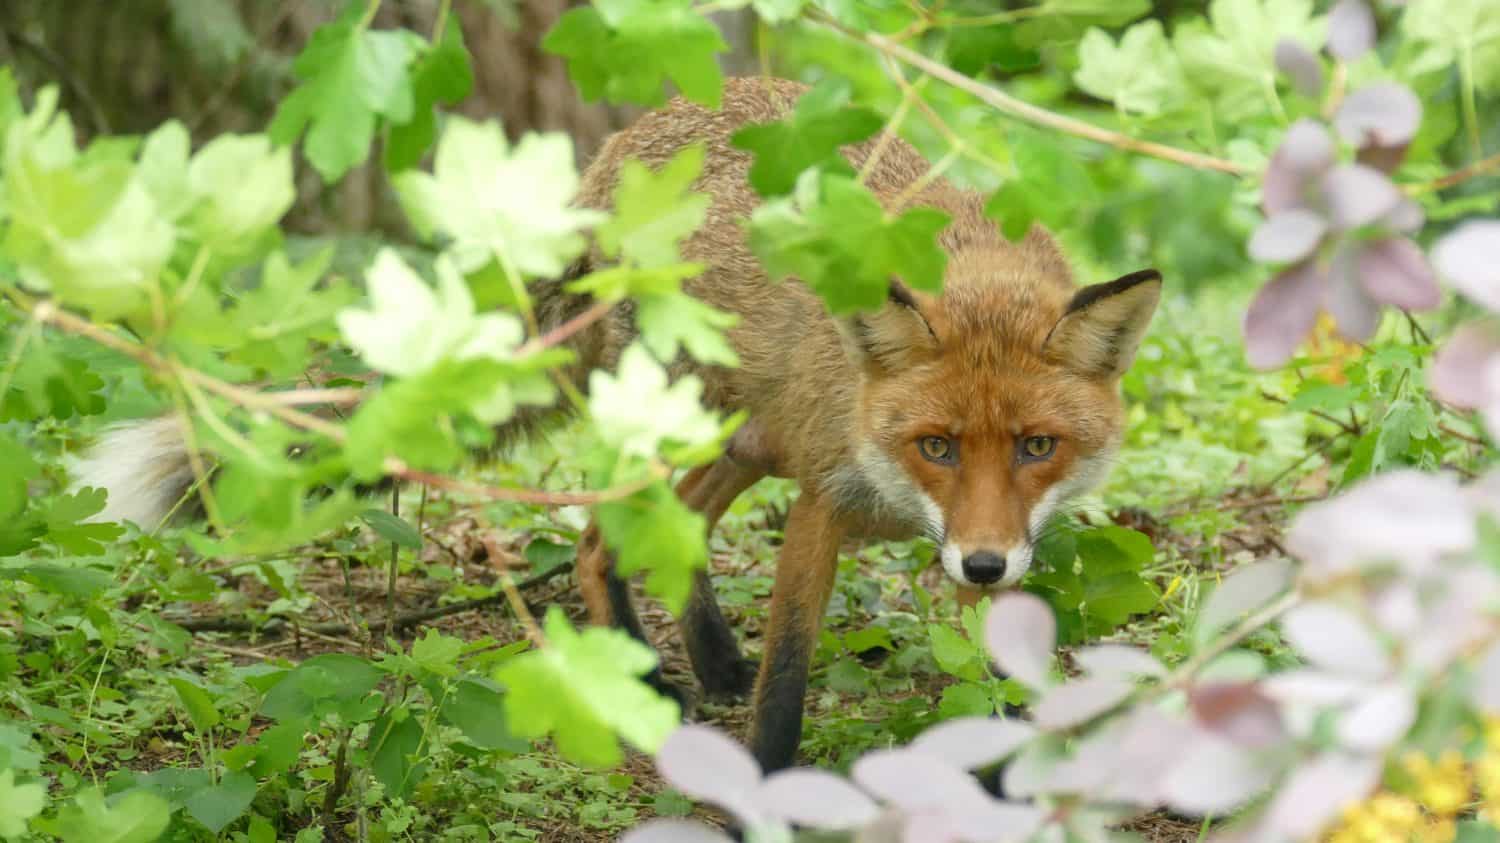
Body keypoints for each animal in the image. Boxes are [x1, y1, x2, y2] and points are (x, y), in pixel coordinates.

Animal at [73, 77, 1160, 775]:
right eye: (935, 445)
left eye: (1037, 447)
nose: (980, 563)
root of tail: (629, 145)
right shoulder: (824, 496)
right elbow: (787, 680)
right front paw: (767, 785)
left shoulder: (983, 533)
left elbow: (998, 673)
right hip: (690, 423)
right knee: (601, 535)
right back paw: (646, 679)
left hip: (747, 435)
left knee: (672, 534)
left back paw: (705, 657)